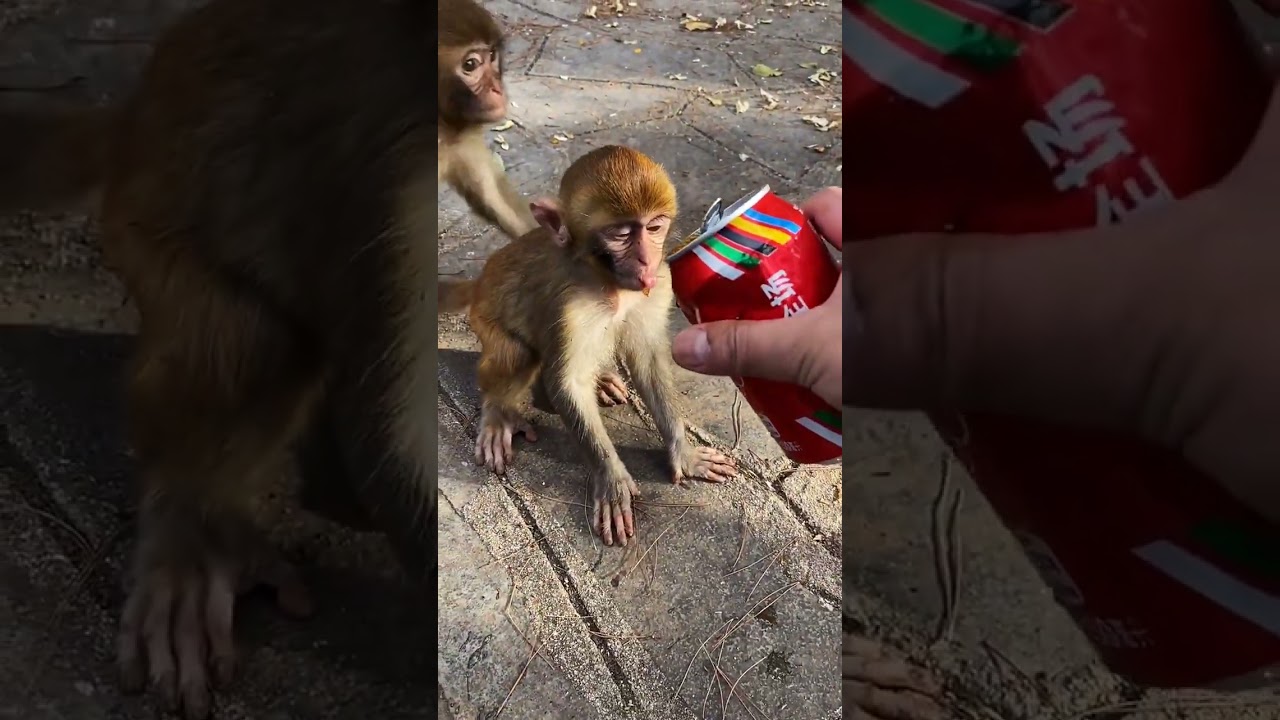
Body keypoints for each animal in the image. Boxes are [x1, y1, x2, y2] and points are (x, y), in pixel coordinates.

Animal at [0, 1, 517, 717]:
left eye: (493, 60)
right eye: (472, 64)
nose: (496, 89)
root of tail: (138, 110)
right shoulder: (400, 171)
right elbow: (387, 432)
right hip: (150, 227)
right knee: (265, 338)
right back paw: (188, 524)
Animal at [438, 145, 738, 547]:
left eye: (654, 227)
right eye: (622, 233)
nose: (645, 259)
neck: (607, 282)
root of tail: (481, 281)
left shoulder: (660, 281)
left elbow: (649, 361)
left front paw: (683, 452)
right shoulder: (571, 305)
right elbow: (568, 382)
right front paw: (610, 478)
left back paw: (601, 381)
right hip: (485, 321)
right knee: (520, 355)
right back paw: (499, 411)